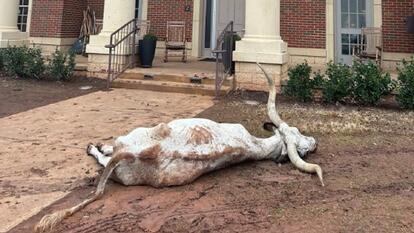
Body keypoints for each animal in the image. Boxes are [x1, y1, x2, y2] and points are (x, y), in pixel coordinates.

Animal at [35, 63, 324, 233]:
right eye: (298, 133)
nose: (315, 143)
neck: (254, 145)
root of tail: (140, 152)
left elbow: (105, 153)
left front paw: (98, 146)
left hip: (129, 140)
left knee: (106, 158)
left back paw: (95, 147)